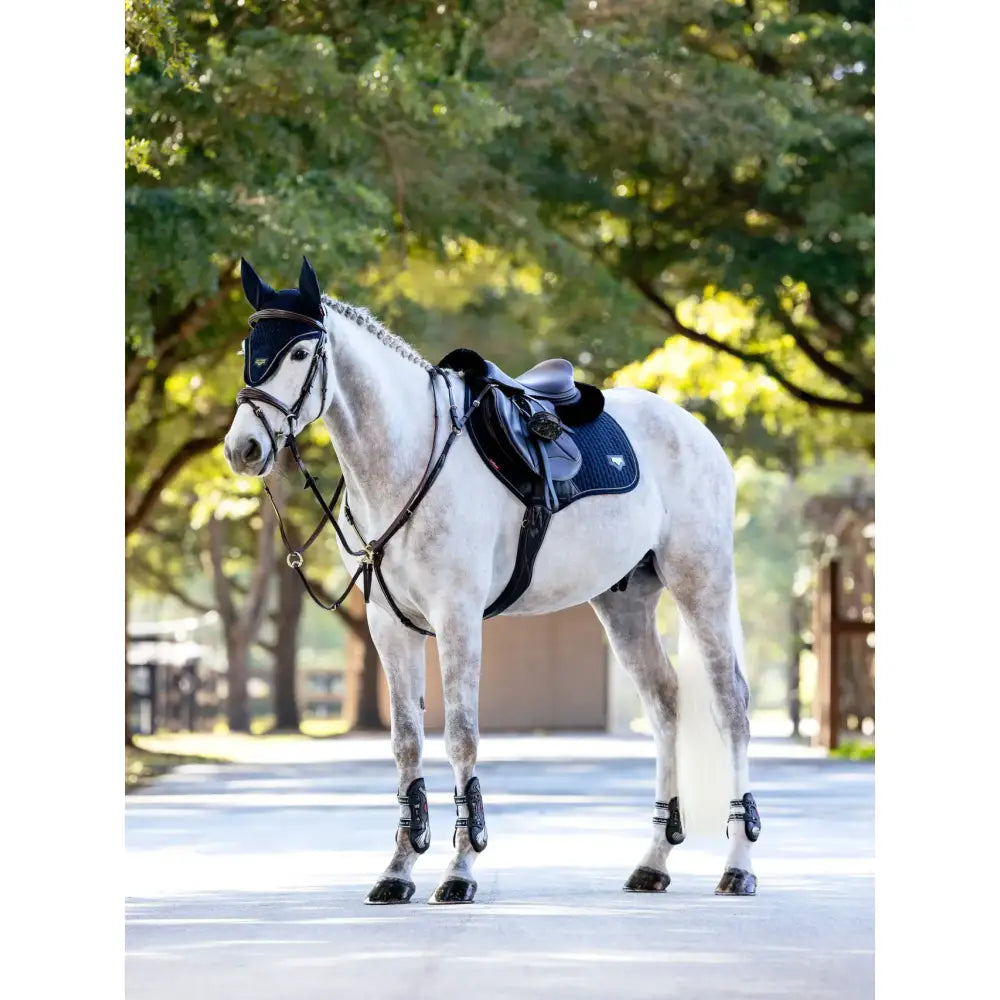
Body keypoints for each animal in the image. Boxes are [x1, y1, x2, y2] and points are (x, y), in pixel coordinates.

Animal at [223, 256, 761, 905]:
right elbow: (406, 743)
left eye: (301, 351)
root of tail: (697, 432)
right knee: (664, 707)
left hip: (702, 585)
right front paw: (398, 870)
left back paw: (738, 865)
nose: (244, 447)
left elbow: (461, 736)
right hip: (626, 604)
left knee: (731, 706)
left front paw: (460, 869)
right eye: (248, 346)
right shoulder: (390, 627)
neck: (408, 458)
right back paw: (653, 862)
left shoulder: (458, 618)